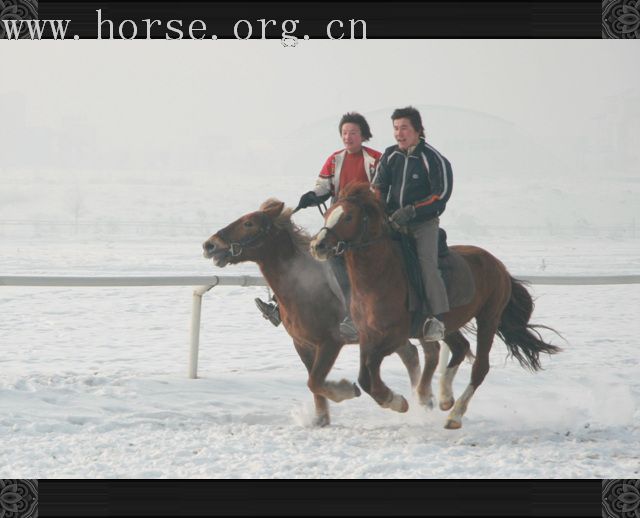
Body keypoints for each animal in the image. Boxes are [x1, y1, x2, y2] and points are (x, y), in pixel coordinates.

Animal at [201, 197, 424, 428]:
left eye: (248, 223)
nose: (210, 245)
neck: (301, 286)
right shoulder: (303, 344)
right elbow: (313, 382)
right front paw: (321, 419)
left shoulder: (330, 343)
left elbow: (315, 380)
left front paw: (345, 390)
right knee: (411, 355)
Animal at [310, 183, 560, 430]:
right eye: (327, 213)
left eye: (348, 216)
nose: (318, 246)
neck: (379, 276)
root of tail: (499, 265)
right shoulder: (368, 335)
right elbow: (364, 377)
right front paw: (396, 399)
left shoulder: (394, 337)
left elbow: (372, 369)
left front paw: (396, 401)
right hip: (447, 325)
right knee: (460, 347)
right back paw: (444, 397)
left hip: (488, 318)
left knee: (480, 367)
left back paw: (454, 415)